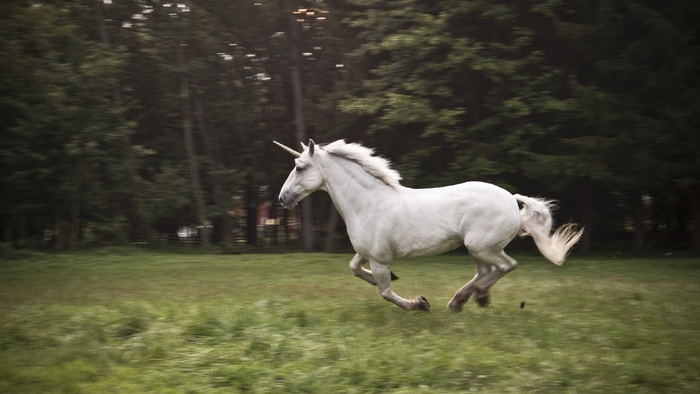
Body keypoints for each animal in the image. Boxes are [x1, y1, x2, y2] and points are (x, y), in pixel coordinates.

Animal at [276, 140, 584, 312]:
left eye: (300, 168)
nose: (283, 198)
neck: (368, 202)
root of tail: (512, 198)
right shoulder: (367, 253)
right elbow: (354, 269)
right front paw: (396, 282)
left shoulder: (379, 258)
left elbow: (385, 291)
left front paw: (419, 304)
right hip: (478, 249)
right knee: (487, 271)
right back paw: (461, 301)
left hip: (483, 247)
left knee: (505, 267)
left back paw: (475, 297)